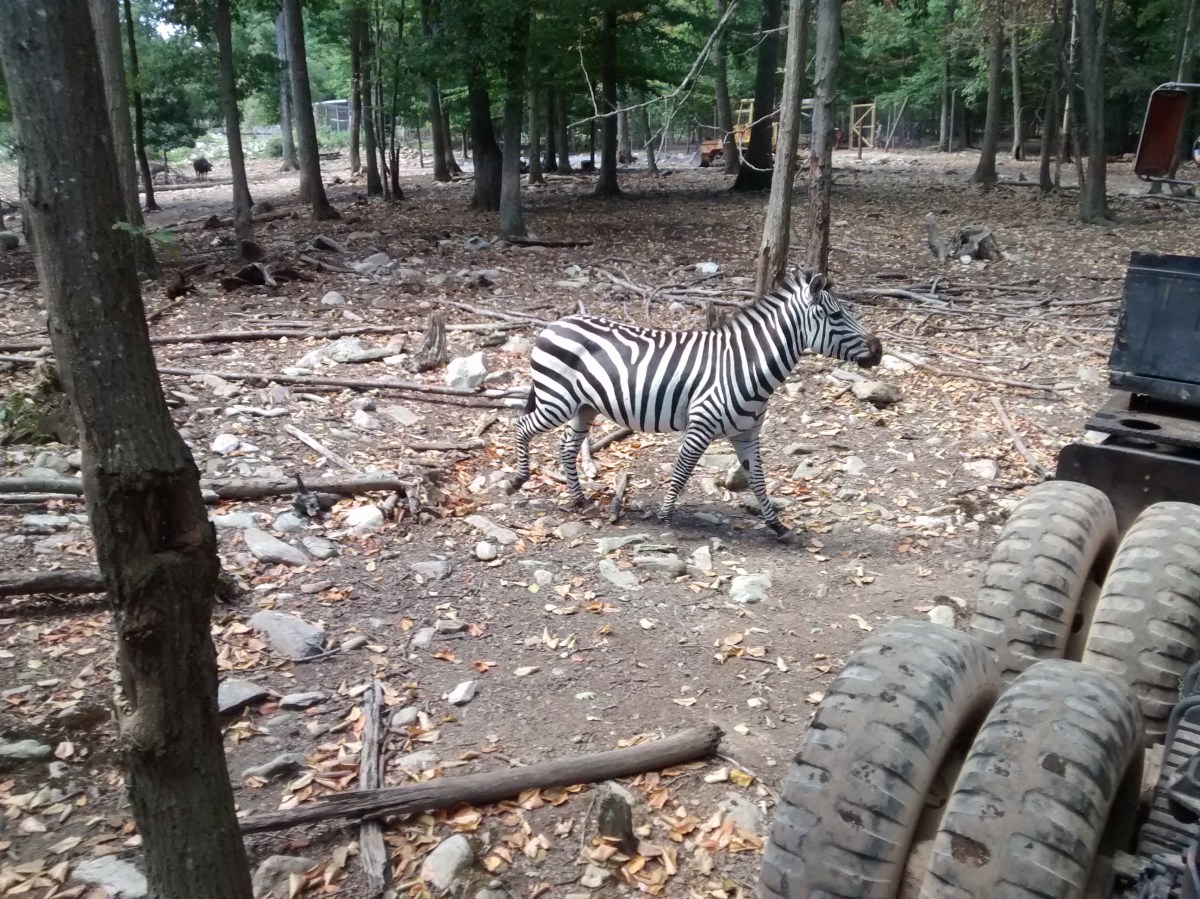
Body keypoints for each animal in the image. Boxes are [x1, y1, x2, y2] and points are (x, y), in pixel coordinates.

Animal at [504, 268, 883, 540]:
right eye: (836, 316)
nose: (878, 350)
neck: (745, 365)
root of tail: (555, 323)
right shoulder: (701, 426)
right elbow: (682, 472)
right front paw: (666, 516)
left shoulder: (747, 434)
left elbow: (759, 479)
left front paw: (776, 525)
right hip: (556, 399)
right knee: (522, 426)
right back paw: (518, 480)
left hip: (585, 406)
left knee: (567, 447)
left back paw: (578, 498)